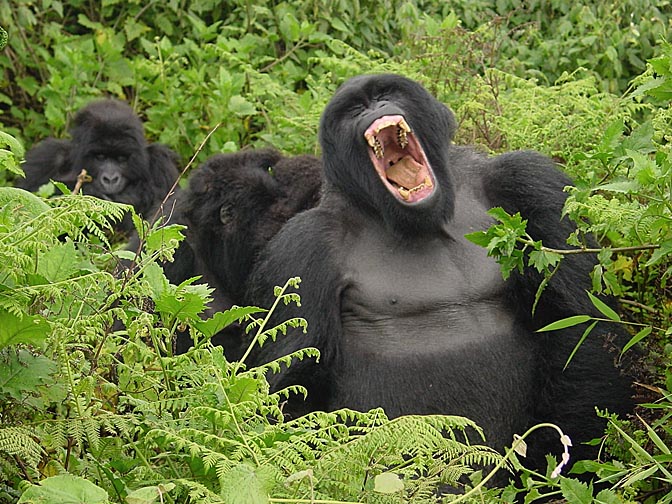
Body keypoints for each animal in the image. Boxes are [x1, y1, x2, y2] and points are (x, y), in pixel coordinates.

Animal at [18, 99, 181, 237]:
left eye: (121, 159)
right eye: (100, 157)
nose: (110, 179)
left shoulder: (161, 165)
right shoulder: (46, 156)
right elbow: (26, 201)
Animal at [247, 73, 636, 470]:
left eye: (386, 93)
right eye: (354, 109)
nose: (375, 108)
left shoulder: (528, 179)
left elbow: (579, 322)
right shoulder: (302, 247)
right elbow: (290, 386)